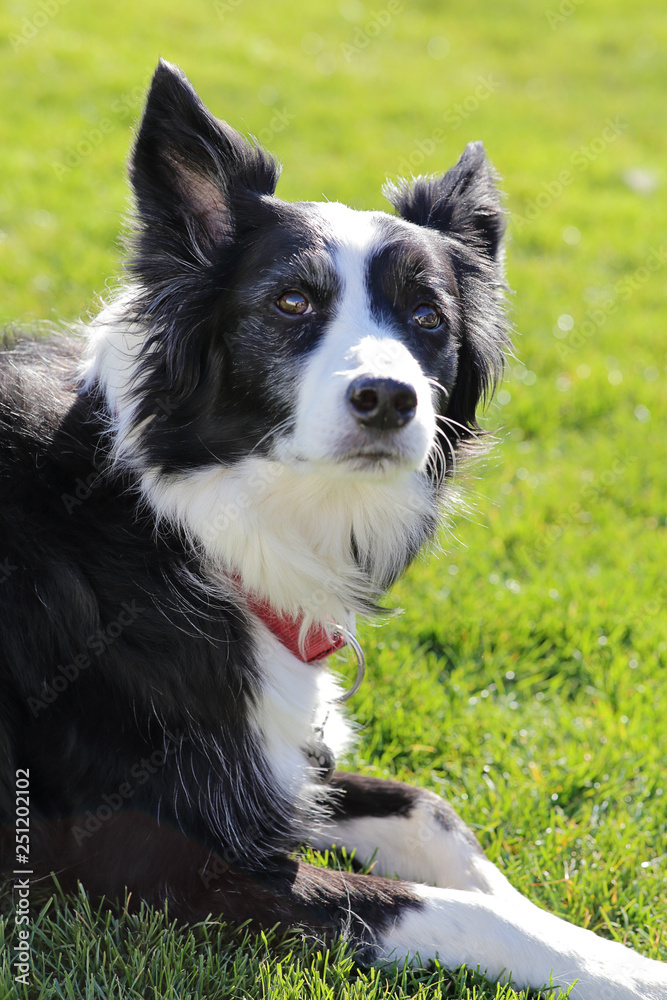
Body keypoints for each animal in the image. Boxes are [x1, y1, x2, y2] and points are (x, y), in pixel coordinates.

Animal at [1, 60, 667, 992]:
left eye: (428, 319)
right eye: (289, 302)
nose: (387, 398)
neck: (179, 527)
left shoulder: (274, 773)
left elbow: (430, 810)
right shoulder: (151, 858)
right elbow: (454, 911)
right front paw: (623, 966)